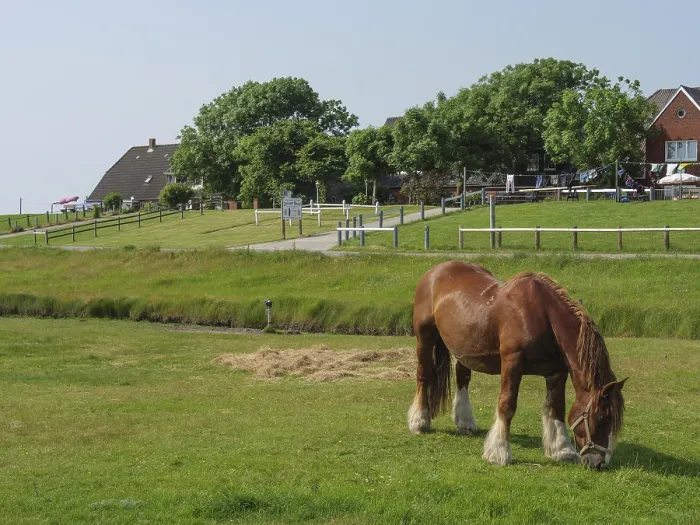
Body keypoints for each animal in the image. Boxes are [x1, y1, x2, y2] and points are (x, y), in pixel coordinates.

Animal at [408, 261, 626, 470]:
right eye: (602, 418)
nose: (599, 463)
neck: (543, 316)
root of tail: (434, 272)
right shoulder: (512, 362)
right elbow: (507, 404)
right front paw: (499, 452)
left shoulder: (557, 371)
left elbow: (556, 408)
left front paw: (562, 450)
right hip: (424, 337)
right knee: (423, 376)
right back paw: (419, 422)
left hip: (463, 350)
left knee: (463, 379)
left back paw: (465, 423)